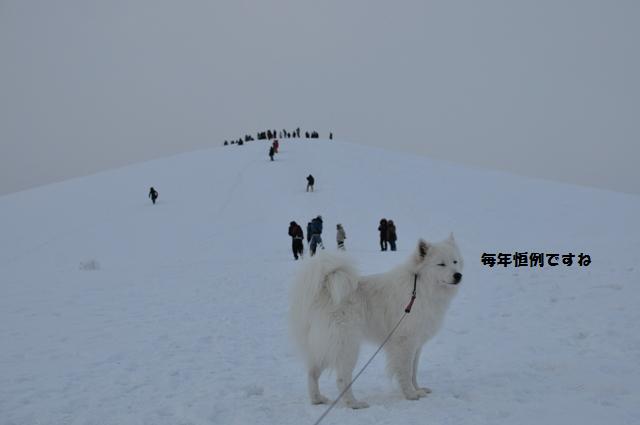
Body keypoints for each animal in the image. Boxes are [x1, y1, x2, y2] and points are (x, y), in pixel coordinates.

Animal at [288, 234, 462, 406]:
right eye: (441, 264)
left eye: (455, 261)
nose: (458, 275)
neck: (419, 287)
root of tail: (324, 290)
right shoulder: (405, 342)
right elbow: (406, 371)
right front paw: (411, 394)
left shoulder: (417, 344)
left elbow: (414, 370)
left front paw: (418, 389)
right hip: (347, 346)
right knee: (342, 379)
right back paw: (354, 403)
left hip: (327, 346)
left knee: (312, 372)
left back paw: (317, 399)